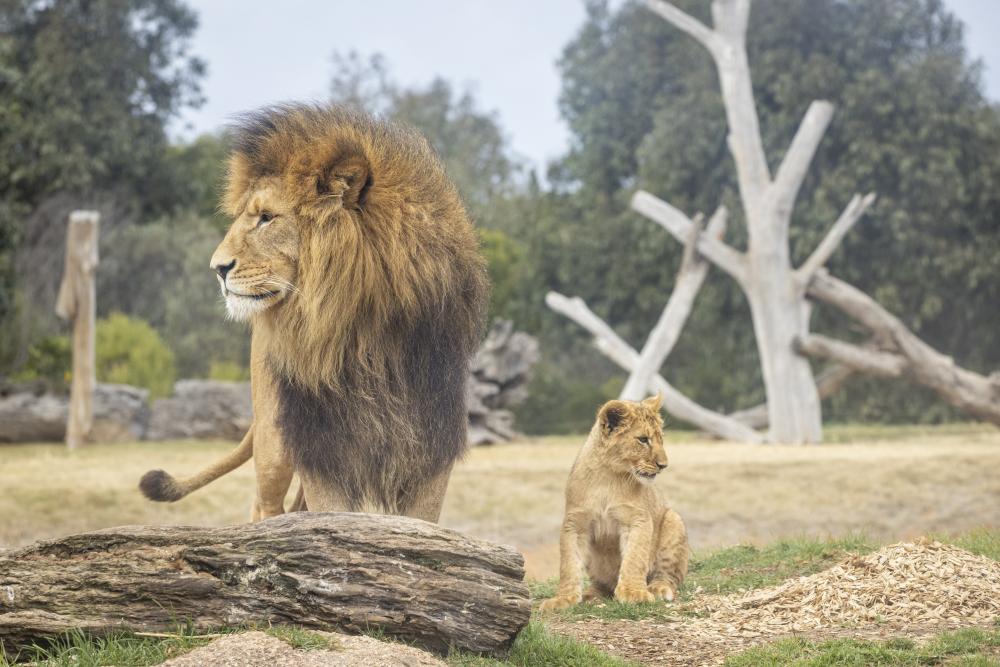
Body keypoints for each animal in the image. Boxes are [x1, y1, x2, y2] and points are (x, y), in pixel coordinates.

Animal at [137, 105, 488, 520]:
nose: (217, 268)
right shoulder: (322, 448)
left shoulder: (430, 449)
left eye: (267, 217)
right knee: (266, 505)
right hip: (274, 441)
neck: (364, 333)